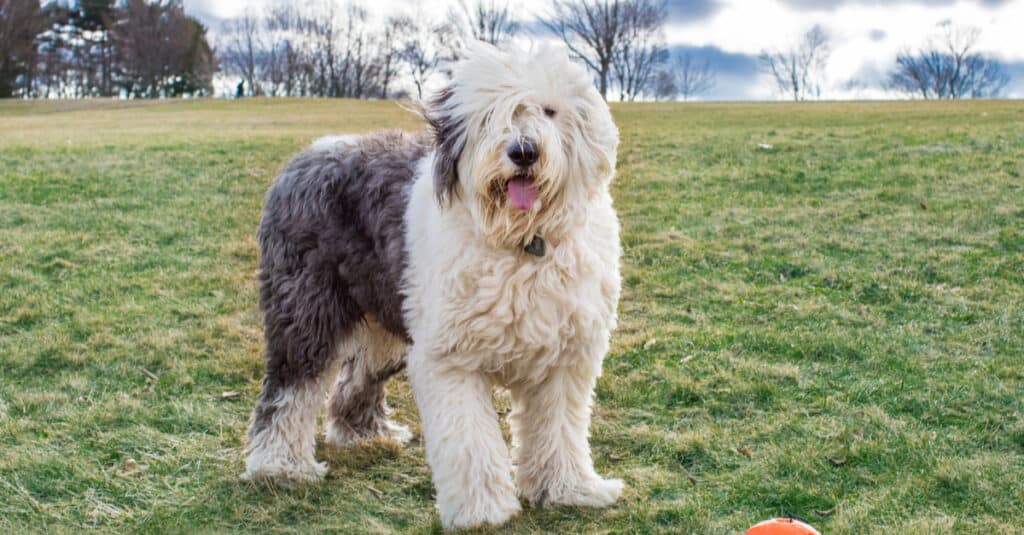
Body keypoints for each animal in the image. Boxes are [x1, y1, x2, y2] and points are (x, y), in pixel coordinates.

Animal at [241, 42, 622, 528]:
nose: (523, 152)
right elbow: (471, 442)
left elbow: (559, 431)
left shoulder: (564, 358)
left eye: (550, 110)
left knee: (355, 377)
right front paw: (483, 511)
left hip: (389, 317)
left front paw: (569, 489)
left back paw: (367, 434)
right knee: (289, 388)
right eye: (489, 117)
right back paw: (280, 467)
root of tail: (306, 154)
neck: (521, 242)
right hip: (307, 309)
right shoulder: (452, 361)